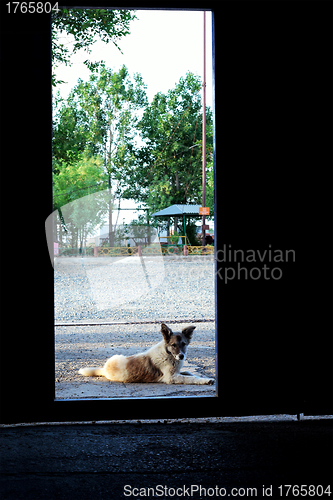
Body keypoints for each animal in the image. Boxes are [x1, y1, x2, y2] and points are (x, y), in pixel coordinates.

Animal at [78, 322, 214, 384]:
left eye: (184, 344)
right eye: (173, 345)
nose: (181, 356)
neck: (168, 354)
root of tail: (104, 369)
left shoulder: (177, 372)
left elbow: (189, 373)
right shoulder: (171, 377)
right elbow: (189, 378)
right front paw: (206, 381)